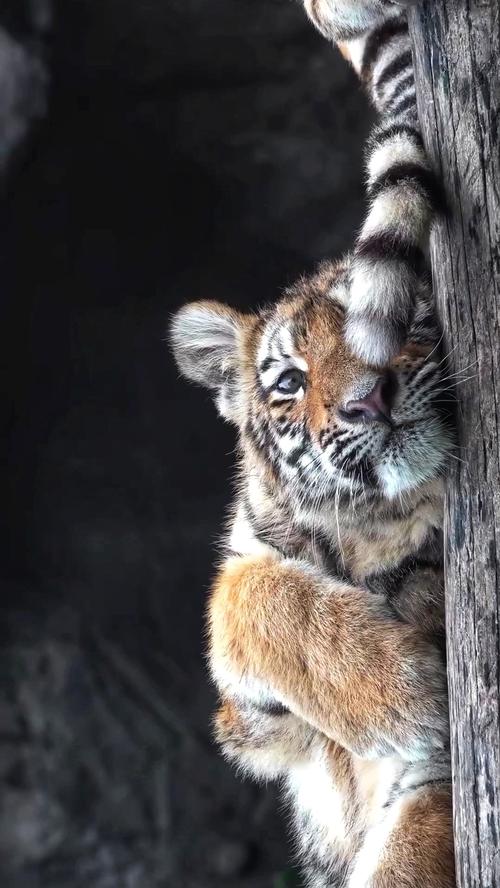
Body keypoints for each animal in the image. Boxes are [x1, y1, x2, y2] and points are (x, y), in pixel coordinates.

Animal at [170, 5, 456, 887]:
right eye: (291, 380)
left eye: (411, 320)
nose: (368, 400)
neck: (365, 535)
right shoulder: (252, 718)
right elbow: (248, 593)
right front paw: (407, 691)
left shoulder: (437, 782)